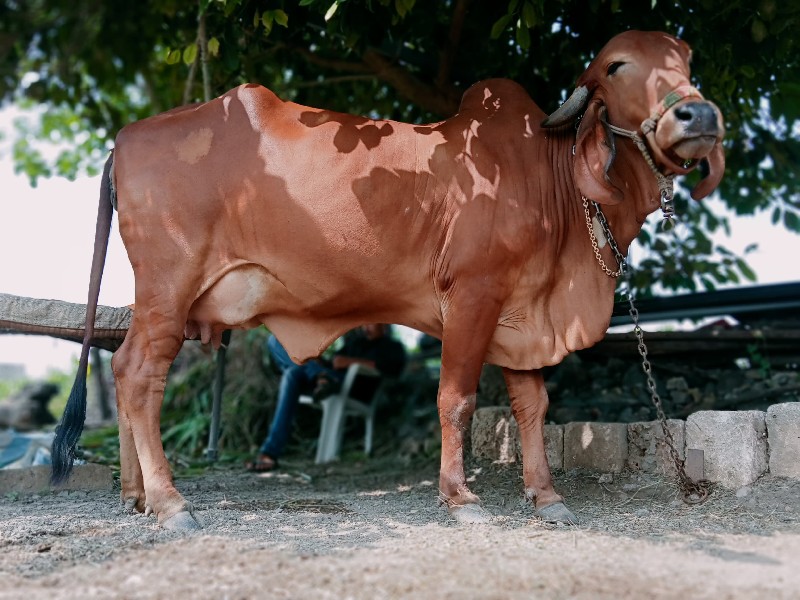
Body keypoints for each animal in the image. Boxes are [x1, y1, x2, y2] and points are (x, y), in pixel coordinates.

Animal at [50, 31, 724, 528]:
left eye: (688, 59)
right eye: (616, 65)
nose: (700, 114)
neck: (548, 177)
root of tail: (127, 137)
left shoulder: (523, 314)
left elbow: (532, 405)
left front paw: (546, 494)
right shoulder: (473, 296)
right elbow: (456, 399)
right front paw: (459, 497)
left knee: (126, 370)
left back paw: (137, 496)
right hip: (169, 290)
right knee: (138, 375)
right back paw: (169, 502)